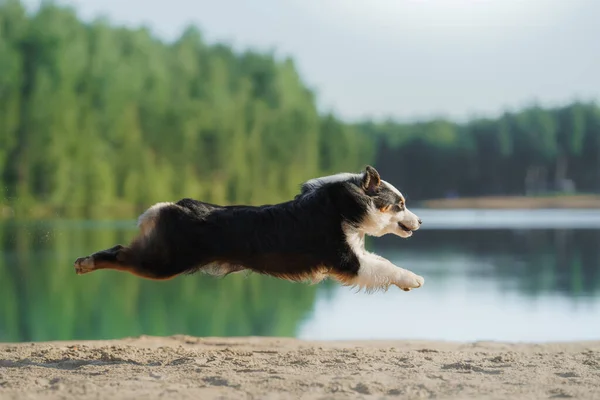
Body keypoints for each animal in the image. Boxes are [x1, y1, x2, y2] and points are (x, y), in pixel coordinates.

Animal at [72, 164, 424, 292]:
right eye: (401, 204)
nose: (421, 221)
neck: (347, 204)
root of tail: (174, 206)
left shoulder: (354, 255)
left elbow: (382, 263)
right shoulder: (347, 260)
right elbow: (386, 267)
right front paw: (414, 279)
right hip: (164, 262)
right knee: (120, 254)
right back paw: (84, 263)